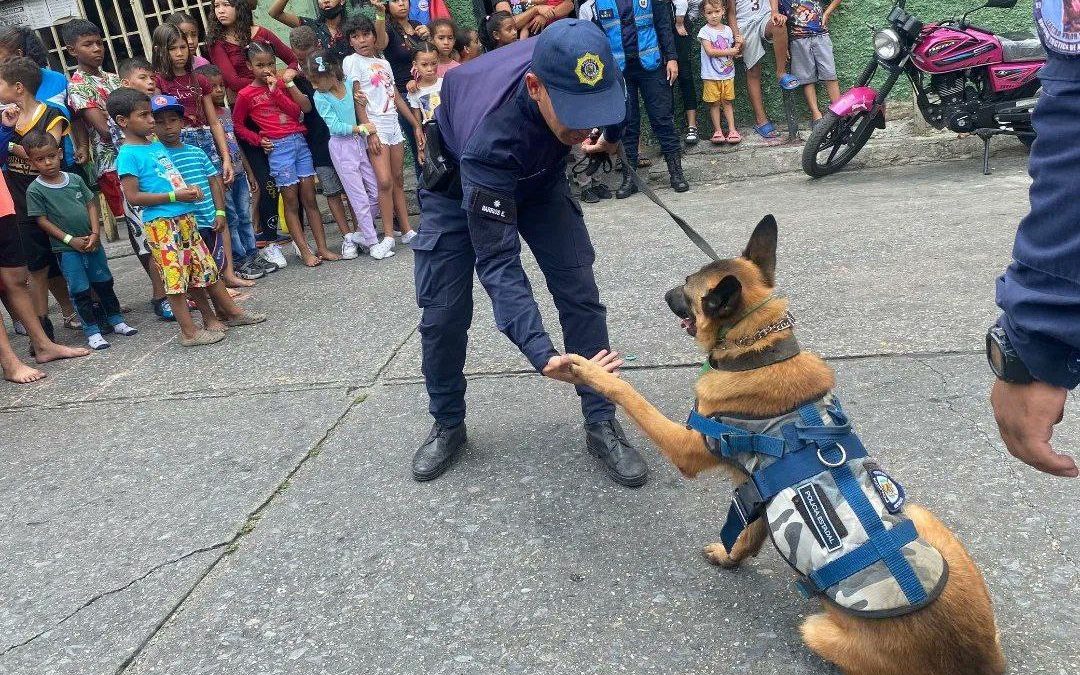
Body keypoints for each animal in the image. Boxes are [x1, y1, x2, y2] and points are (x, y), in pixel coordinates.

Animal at [565, 217, 1002, 673]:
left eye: (686, 285)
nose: (664, 292)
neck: (758, 349)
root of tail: (975, 661)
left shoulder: (688, 447)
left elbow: (630, 395)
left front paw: (587, 370)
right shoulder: (756, 492)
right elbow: (746, 537)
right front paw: (728, 558)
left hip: (817, 628)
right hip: (923, 516)